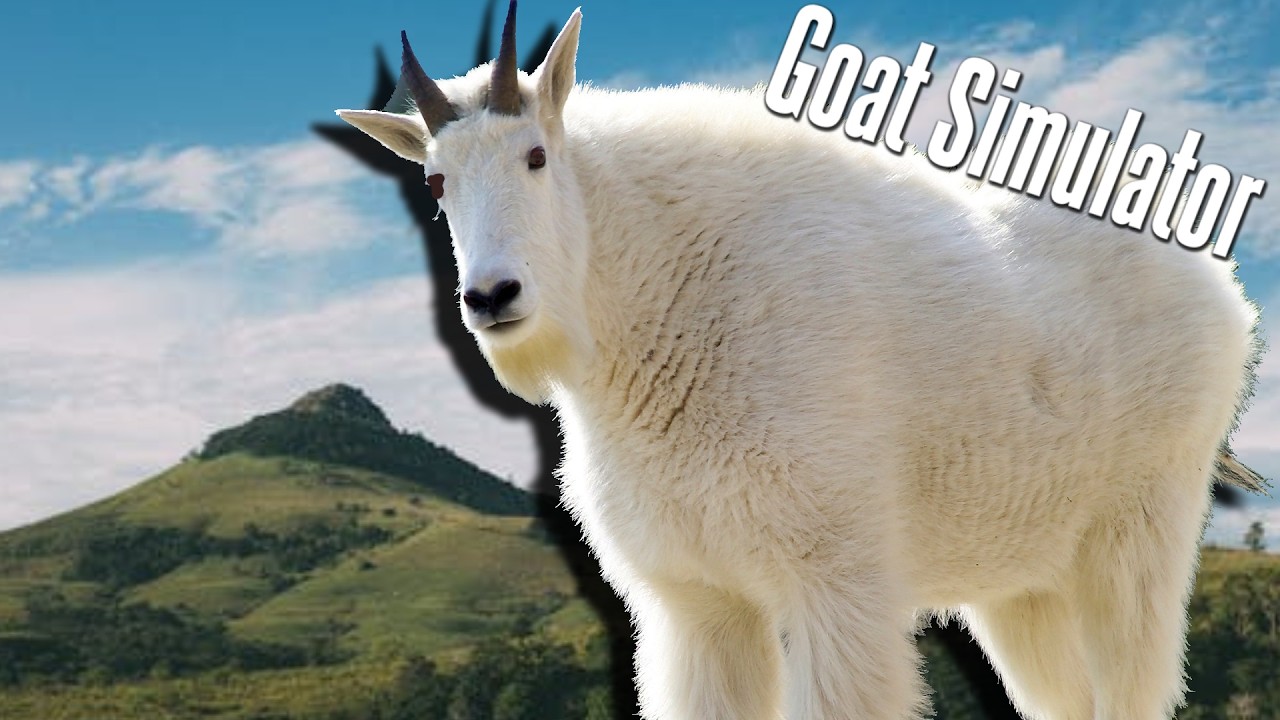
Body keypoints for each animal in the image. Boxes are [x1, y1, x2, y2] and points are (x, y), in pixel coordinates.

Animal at [337, 4, 1265, 718]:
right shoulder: (700, 605)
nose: (492, 296)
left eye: (534, 155)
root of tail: (1228, 297)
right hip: (1023, 579)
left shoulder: (836, 583)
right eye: (435, 183)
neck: (654, 300)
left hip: (1135, 535)